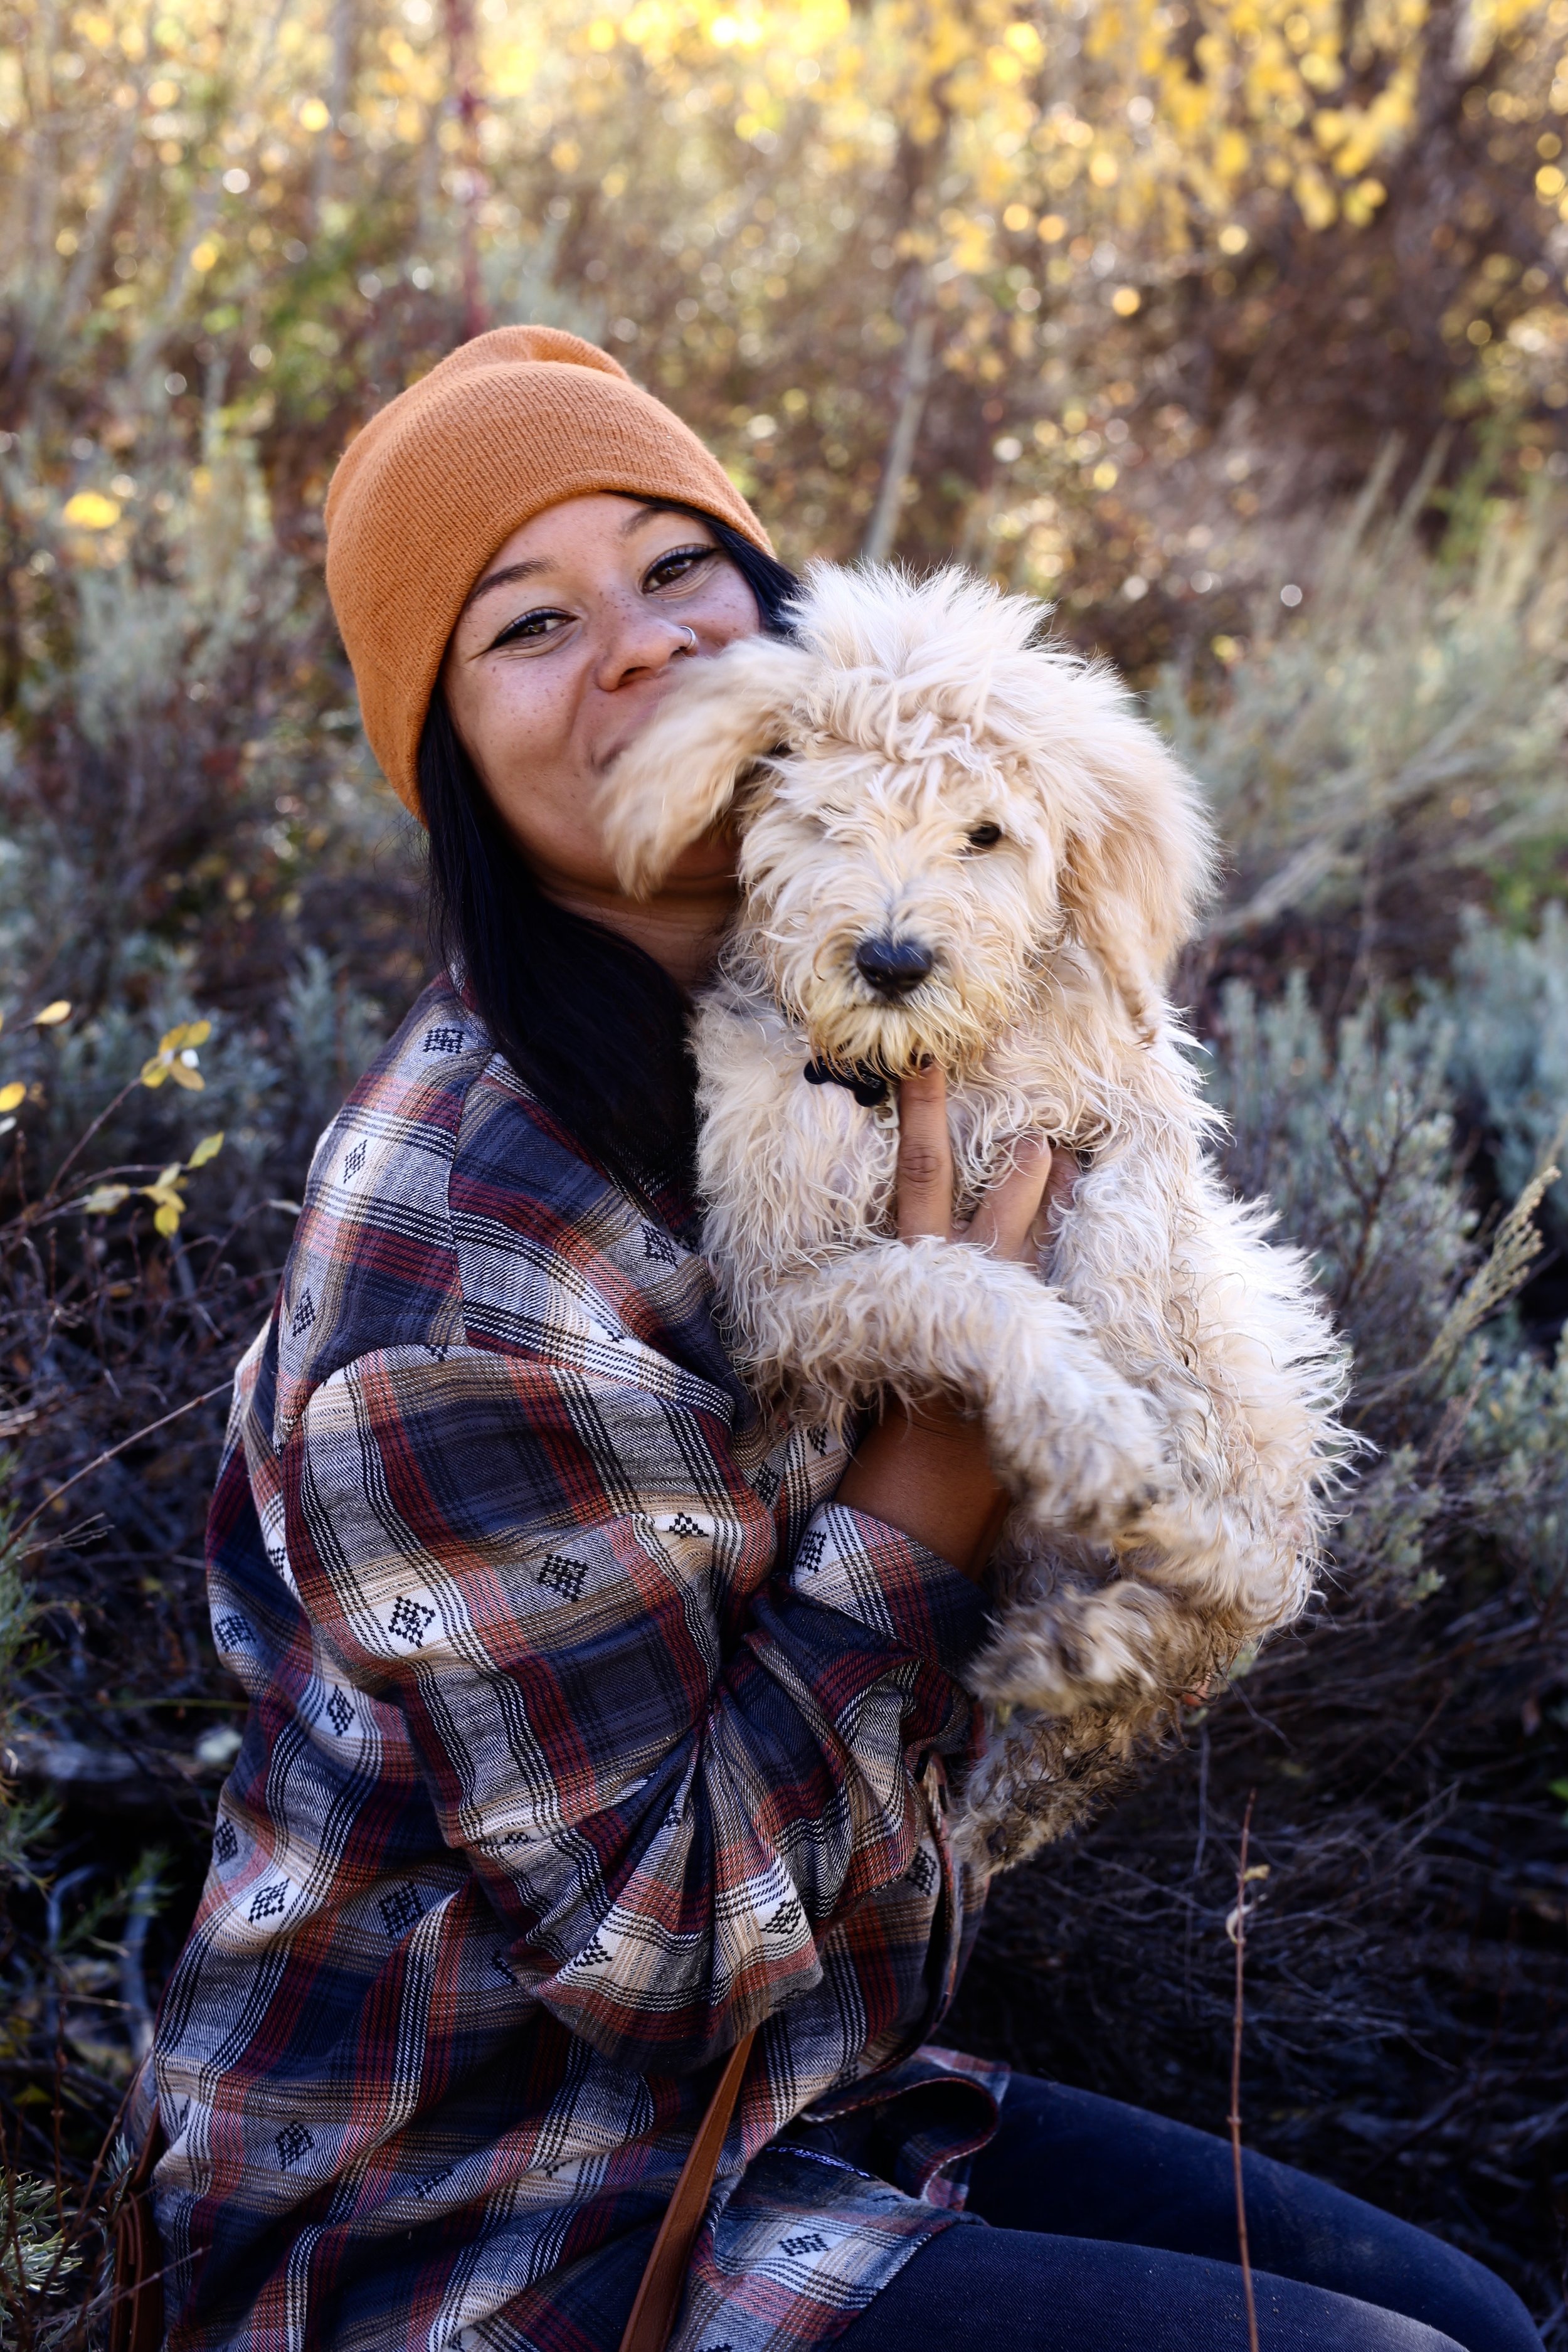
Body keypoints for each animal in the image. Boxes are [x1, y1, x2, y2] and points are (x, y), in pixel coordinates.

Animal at [601, 559, 1353, 1863]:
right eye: (825, 818)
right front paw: (1082, 1419)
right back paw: (1078, 1633)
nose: (893, 961)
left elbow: (1130, 1243)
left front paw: (1136, 1406)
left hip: (1264, 1436)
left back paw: (1120, 1598)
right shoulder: (777, 1296)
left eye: (987, 833)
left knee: (1246, 1584)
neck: (929, 1075)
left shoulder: (1125, 1113)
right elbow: (949, 1283)